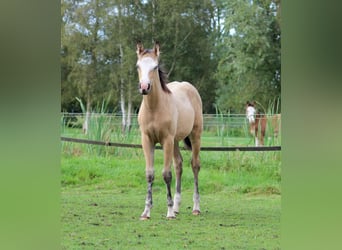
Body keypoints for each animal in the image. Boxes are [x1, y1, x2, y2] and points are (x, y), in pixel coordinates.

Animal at [136, 42, 203, 220]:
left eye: (155, 66)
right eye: (138, 66)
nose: (144, 87)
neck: (154, 108)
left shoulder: (166, 140)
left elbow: (166, 174)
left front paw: (169, 212)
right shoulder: (147, 140)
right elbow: (150, 174)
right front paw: (146, 211)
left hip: (195, 135)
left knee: (195, 165)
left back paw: (195, 207)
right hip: (175, 141)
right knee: (179, 165)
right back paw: (178, 206)